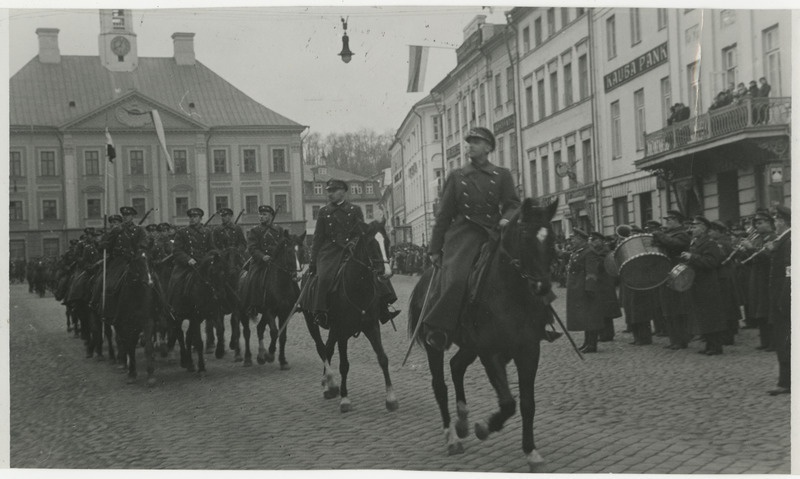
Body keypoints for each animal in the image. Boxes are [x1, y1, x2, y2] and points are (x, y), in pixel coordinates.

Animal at [234, 231, 306, 370]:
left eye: (302, 251)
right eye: (289, 252)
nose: (298, 276)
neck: (281, 284)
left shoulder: (284, 313)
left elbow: (282, 336)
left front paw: (282, 361)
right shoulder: (269, 311)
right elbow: (274, 332)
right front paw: (271, 353)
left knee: (260, 328)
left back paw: (260, 355)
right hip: (243, 311)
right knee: (247, 332)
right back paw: (247, 358)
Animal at [304, 220, 396, 412]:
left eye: (387, 242)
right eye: (371, 244)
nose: (386, 272)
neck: (359, 286)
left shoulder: (371, 326)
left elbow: (383, 358)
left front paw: (391, 398)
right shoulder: (342, 331)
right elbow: (344, 365)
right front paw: (345, 399)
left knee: (328, 348)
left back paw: (328, 384)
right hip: (312, 323)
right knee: (321, 348)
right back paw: (330, 383)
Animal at [406, 198, 556, 468]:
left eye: (551, 238)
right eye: (525, 236)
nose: (542, 286)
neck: (509, 293)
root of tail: (426, 277)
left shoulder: (529, 351)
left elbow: (527, 404)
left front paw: (531, 450)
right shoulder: (491, 352)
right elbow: (508, 403)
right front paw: (485, 427)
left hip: (469, 345)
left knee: (456, 366)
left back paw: (463, 420)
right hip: (437, 344)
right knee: (440, 386)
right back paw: (452, 438)